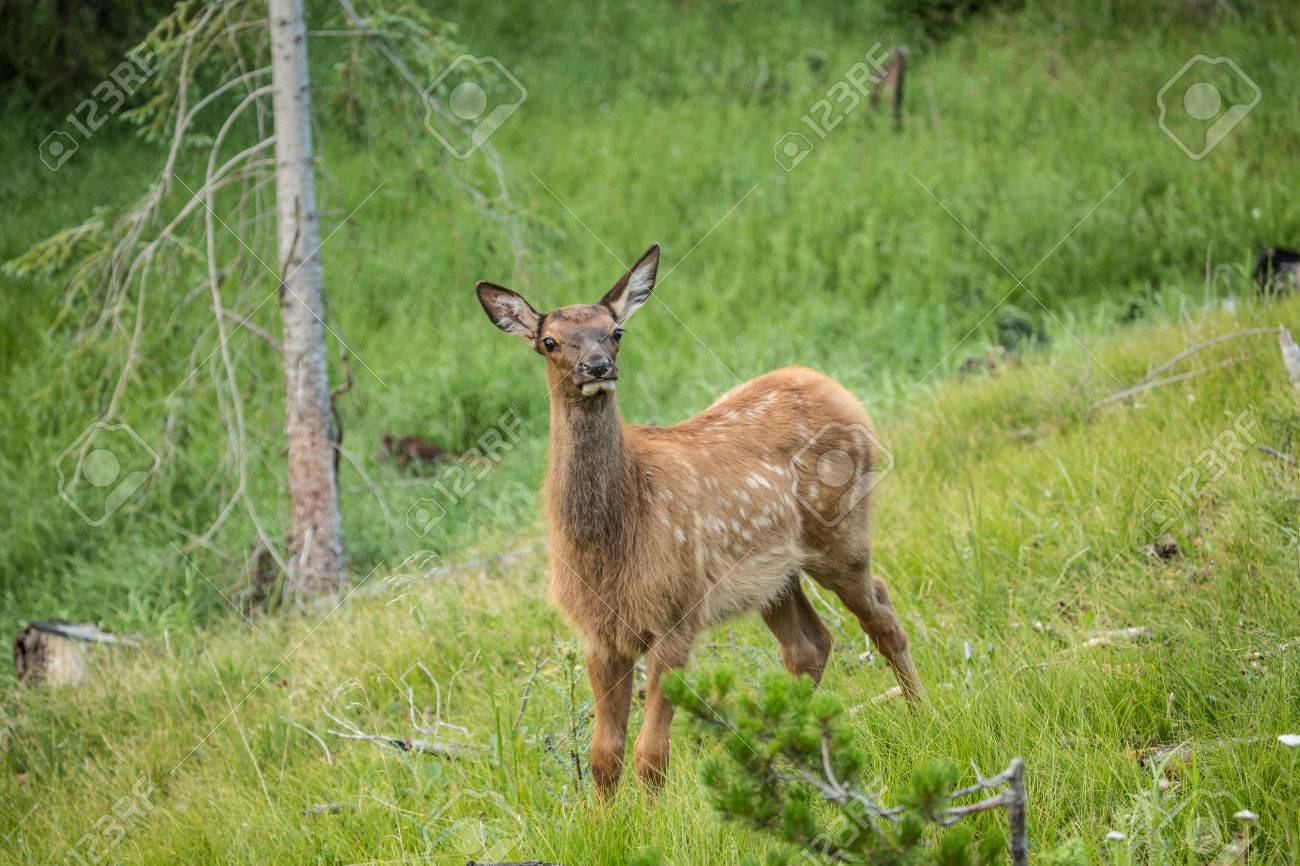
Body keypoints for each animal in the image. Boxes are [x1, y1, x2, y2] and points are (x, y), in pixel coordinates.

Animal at [475, 244, 924, 795]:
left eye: (616, 331)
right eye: (549, 341)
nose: (598, 366)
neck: (617, 533)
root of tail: (837, 388)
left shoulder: (676, 611)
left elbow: (651, 755)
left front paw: (652, 816)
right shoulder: (599, 632)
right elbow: (604, 755)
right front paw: (606, 818)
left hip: (842, 534)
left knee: (882, 615)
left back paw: (923, 715)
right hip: (773, 576)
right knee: (809, 645)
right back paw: (784, 757)